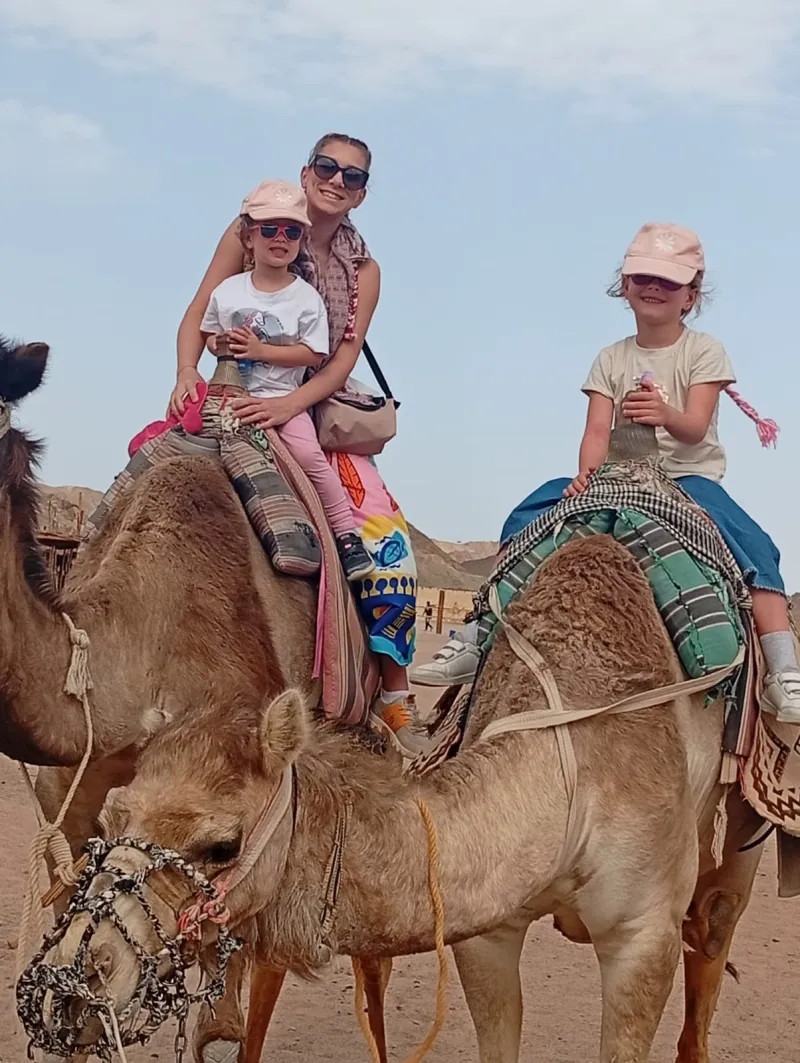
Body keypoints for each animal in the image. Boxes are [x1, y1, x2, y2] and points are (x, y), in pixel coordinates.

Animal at [46, 529, 770, 1063]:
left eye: (221, 845)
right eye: (106, 822)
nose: (73, 979)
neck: (572, 765)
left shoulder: (642, 933)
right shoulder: (487, 924)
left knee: (714, 925)